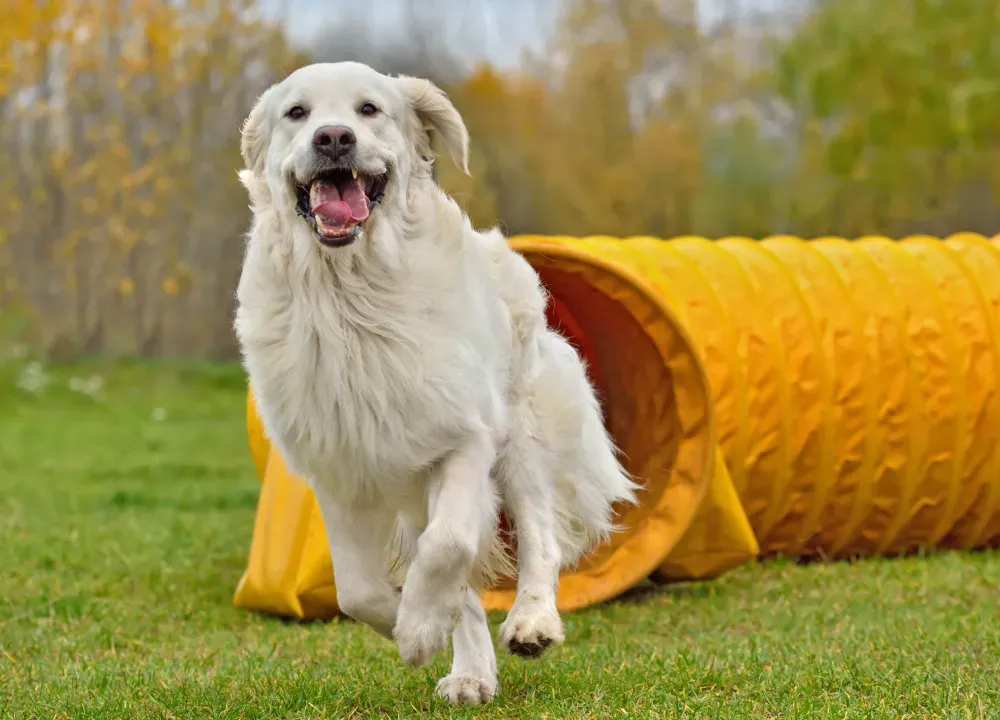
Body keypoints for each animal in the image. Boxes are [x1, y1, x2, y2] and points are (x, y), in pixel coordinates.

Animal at [233, 62, 636, 704]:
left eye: (369, 109)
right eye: (297, 113)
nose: (334, 138)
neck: (351, 291)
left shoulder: (463, 439)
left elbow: (449, 546)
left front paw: (420, 627)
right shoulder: (341, 468)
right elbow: (359, 591)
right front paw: (417, 627)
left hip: (520, 439)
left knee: (539, 536)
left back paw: (531, 623)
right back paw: (471, 673)